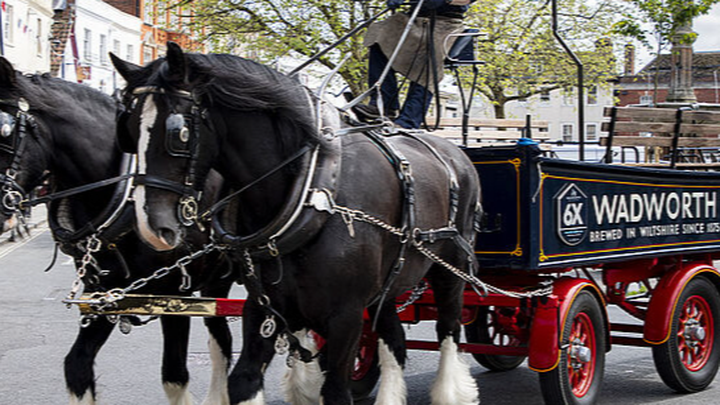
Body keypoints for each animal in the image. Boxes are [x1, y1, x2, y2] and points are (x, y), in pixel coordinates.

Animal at [111, 42, 483, 405]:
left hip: (450, 272)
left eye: (179, 133)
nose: (151, 226)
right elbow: (243, 381)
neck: (313, 192)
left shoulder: (346, 315)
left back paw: (451, 389)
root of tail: (456, 152)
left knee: (449, 331)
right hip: (387, 286)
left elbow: (335, 391)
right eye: (127, 130)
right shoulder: (264, 310)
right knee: (394, 340)